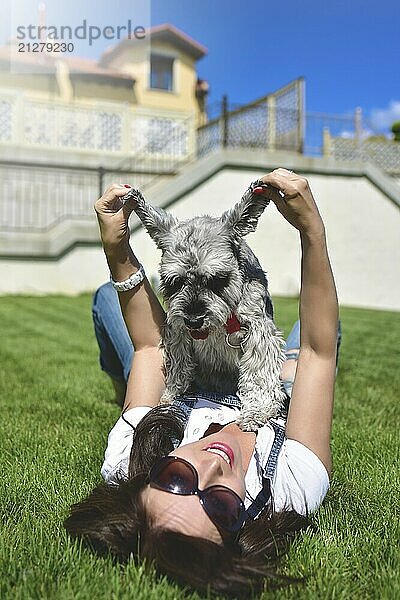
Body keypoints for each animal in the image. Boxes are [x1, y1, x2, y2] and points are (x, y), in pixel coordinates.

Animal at [123, 179, 286, 432]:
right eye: (175, 281)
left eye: (217, 279)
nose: (193, 320)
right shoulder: (177, 331)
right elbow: (179, 365)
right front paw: (170, 396)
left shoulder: (258, 332)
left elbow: (258, 373)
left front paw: (256, 412)